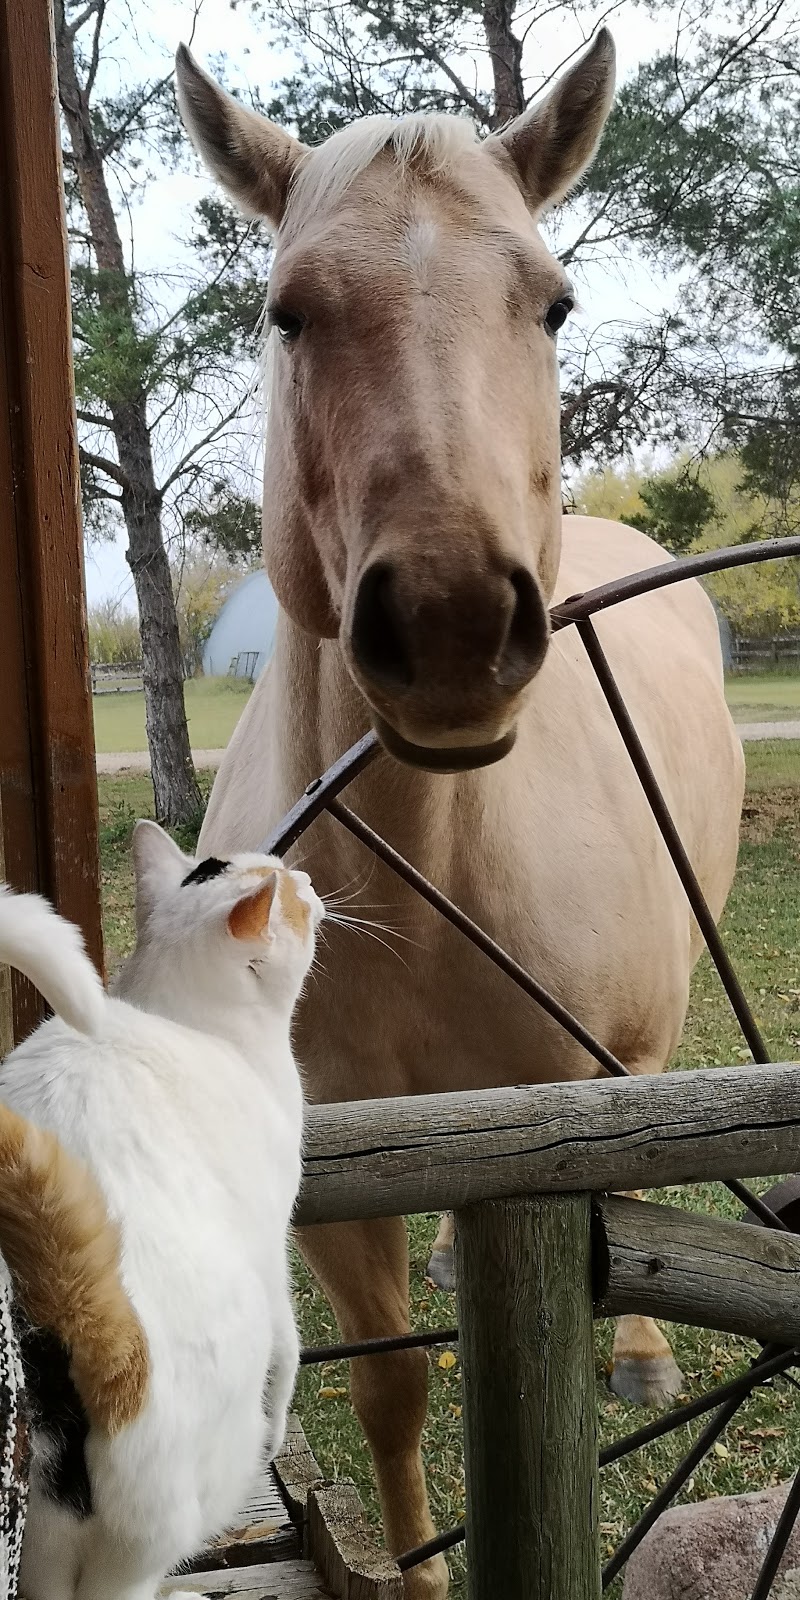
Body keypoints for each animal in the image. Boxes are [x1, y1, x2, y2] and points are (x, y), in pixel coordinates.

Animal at [0, 825, 321, 1600]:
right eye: (290, 890)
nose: (309, 881)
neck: (174, 1012)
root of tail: (83, 1314)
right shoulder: (274, 1241)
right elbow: (291, 1346)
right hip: (172, 1509)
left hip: (37, 1551)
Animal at [178, 31, 745, 1593]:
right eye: (289, 312)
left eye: (549, 301)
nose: (446, 619)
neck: (426, 882)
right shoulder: (334, 1179)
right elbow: (389, 1385)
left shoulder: (566, 1125)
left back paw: (637, 1349)